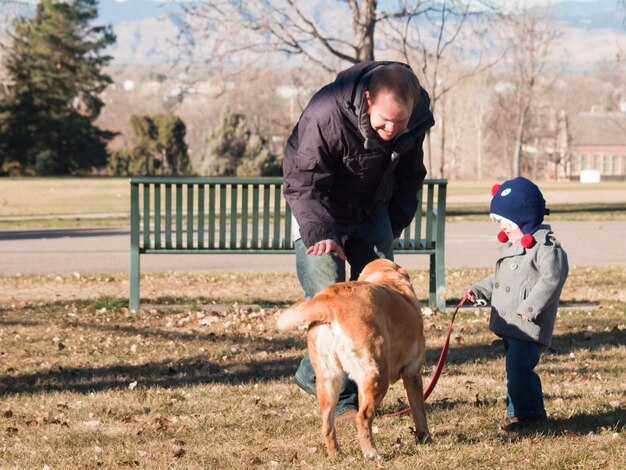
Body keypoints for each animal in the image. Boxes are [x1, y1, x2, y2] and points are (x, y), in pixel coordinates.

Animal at [278, 258, 428, 458]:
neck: (388, 278)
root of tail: (331, 302)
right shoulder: (412, 373)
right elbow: (419, 411)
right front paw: (425, 437)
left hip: (328, 381)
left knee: (327, 425)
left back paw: (335, 454)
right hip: (377, 376)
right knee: (362, 418)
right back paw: (371, 453)